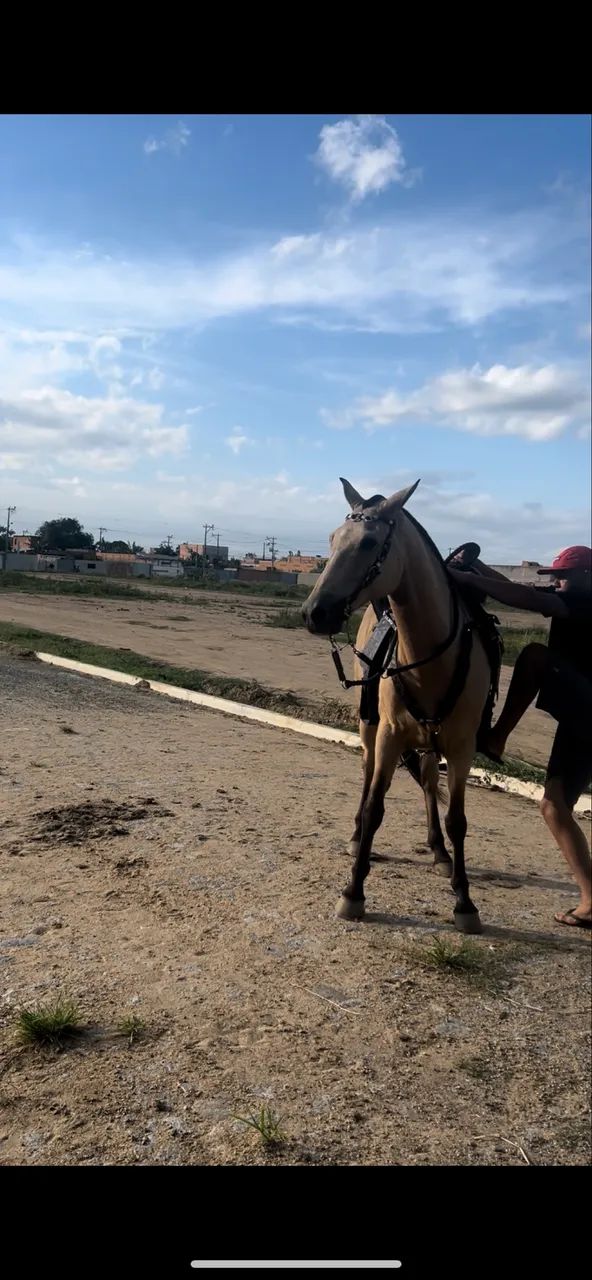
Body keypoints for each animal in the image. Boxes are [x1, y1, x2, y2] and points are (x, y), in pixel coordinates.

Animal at [302, 477, 491, 934]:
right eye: (332, 538)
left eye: (370, 542)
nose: (316, 613)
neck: (431, 657)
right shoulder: (389, 735)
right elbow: (375, 807)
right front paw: (353, 891)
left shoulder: (462, 748)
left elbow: (457, 820)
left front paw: (464, 900)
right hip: (370, 728)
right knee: (368, 772)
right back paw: (357, 839)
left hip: (431, 742)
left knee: (427, 779)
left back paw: (438, 851)